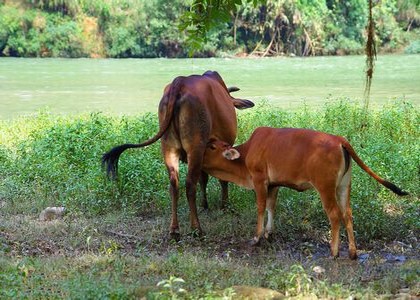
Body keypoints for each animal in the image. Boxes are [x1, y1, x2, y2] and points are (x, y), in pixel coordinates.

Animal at [102, 71, 253, 239]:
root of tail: (179, 82)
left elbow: (204, 178)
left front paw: (205, 205)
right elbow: (221, 179)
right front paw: (225, 206)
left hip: (169, 147)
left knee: (174, 184)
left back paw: (174, 229)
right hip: (195, 147)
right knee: (189, 184)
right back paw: (196, 228)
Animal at [202, 126, 408, 258]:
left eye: (211, 147)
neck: (246, 154)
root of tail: (339, 139)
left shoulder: (260, 180)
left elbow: (260, 207)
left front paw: (256, 237)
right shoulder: (274, 185)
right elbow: (271, 207)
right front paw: (269, 233)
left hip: (325, 187)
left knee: (335, 215)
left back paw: (334, 251)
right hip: (344, 186)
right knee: (347, 214)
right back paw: (352, 252)